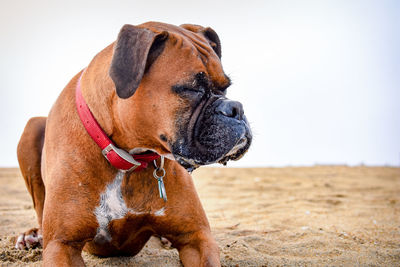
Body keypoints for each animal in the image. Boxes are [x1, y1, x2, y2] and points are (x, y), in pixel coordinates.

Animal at [18, 22, 253, 266]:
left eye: (226, 87)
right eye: (192, 89)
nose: (236, 108)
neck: (128, 157)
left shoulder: (197, 238)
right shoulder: (62, 245)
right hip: (32, 128)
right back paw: (32, 235)